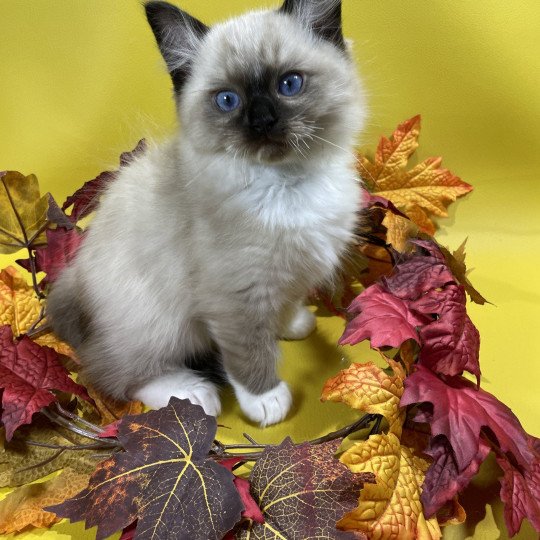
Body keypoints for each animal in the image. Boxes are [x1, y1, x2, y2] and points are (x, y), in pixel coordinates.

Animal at [47, 0, 368, 428]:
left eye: (289, 84)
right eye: (228, 100)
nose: (262, 121)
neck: (287, 184)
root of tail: (74, 277)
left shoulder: (292, 272)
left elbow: (283, 305)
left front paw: (289, 324)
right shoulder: (236, 294)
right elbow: (249, 351)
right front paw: (265, 399)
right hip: (158, 324)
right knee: (113, 375)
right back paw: (192, 393)